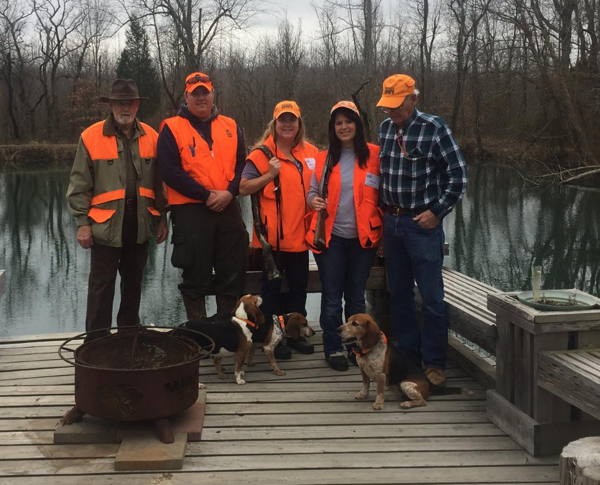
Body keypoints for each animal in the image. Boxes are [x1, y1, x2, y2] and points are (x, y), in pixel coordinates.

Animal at [338, 314, 468, 408]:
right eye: (348, 320)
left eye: (355, 324)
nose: (337, 329)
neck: (368, 351)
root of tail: (428, 382)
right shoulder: (363, 370)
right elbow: (366, 385)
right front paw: (363, 394)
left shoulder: (380, 375)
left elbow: (380, 391)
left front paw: (379, 403)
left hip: (406, 384)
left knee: (422, 401)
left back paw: (407, 404)